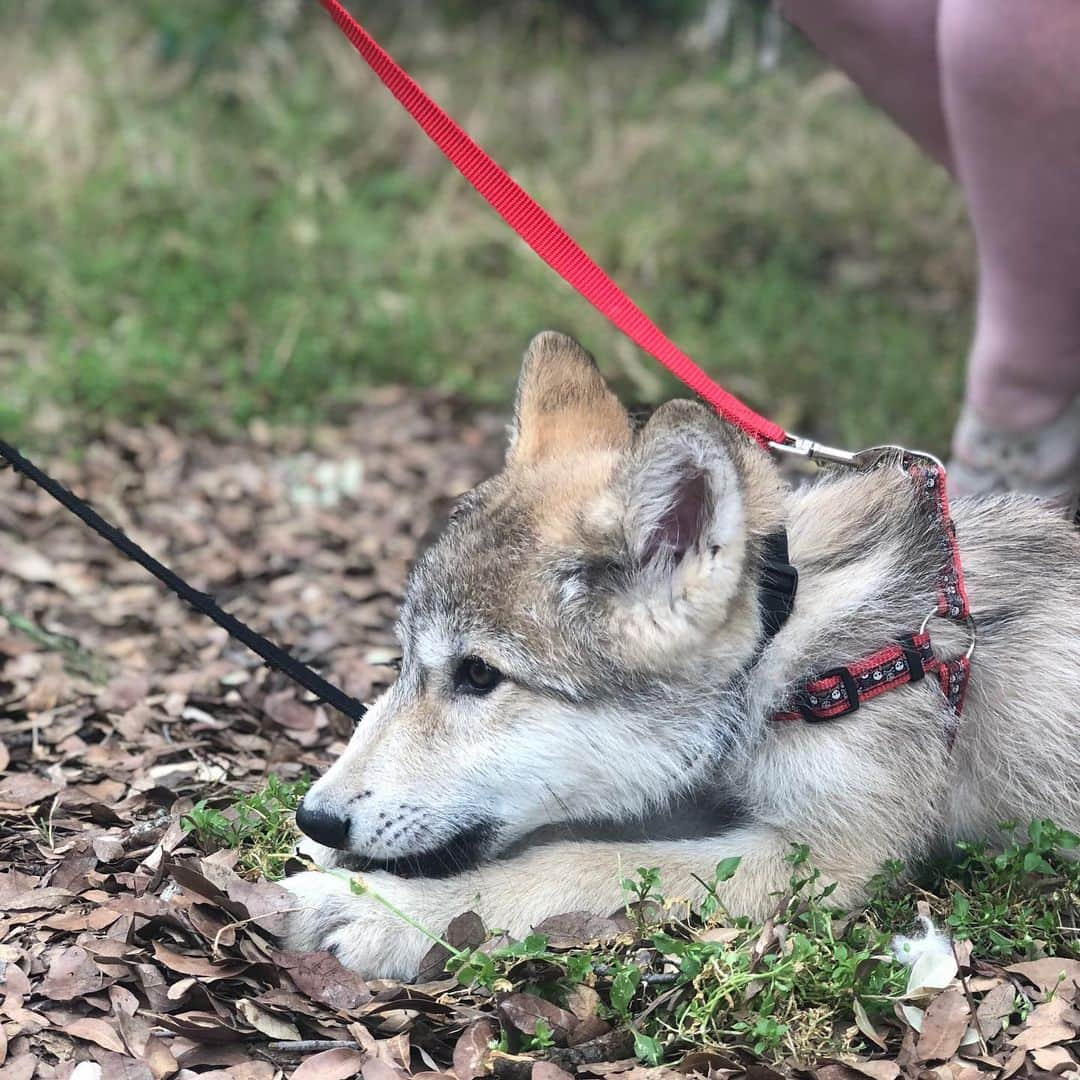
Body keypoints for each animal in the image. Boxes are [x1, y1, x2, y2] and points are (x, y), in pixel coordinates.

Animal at [285, 330, 1080, 980]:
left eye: (479, 675)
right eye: (404, 661)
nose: (314, 818)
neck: (789, 660)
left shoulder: (825, 859)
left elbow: (576, 863)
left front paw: (382, 910)